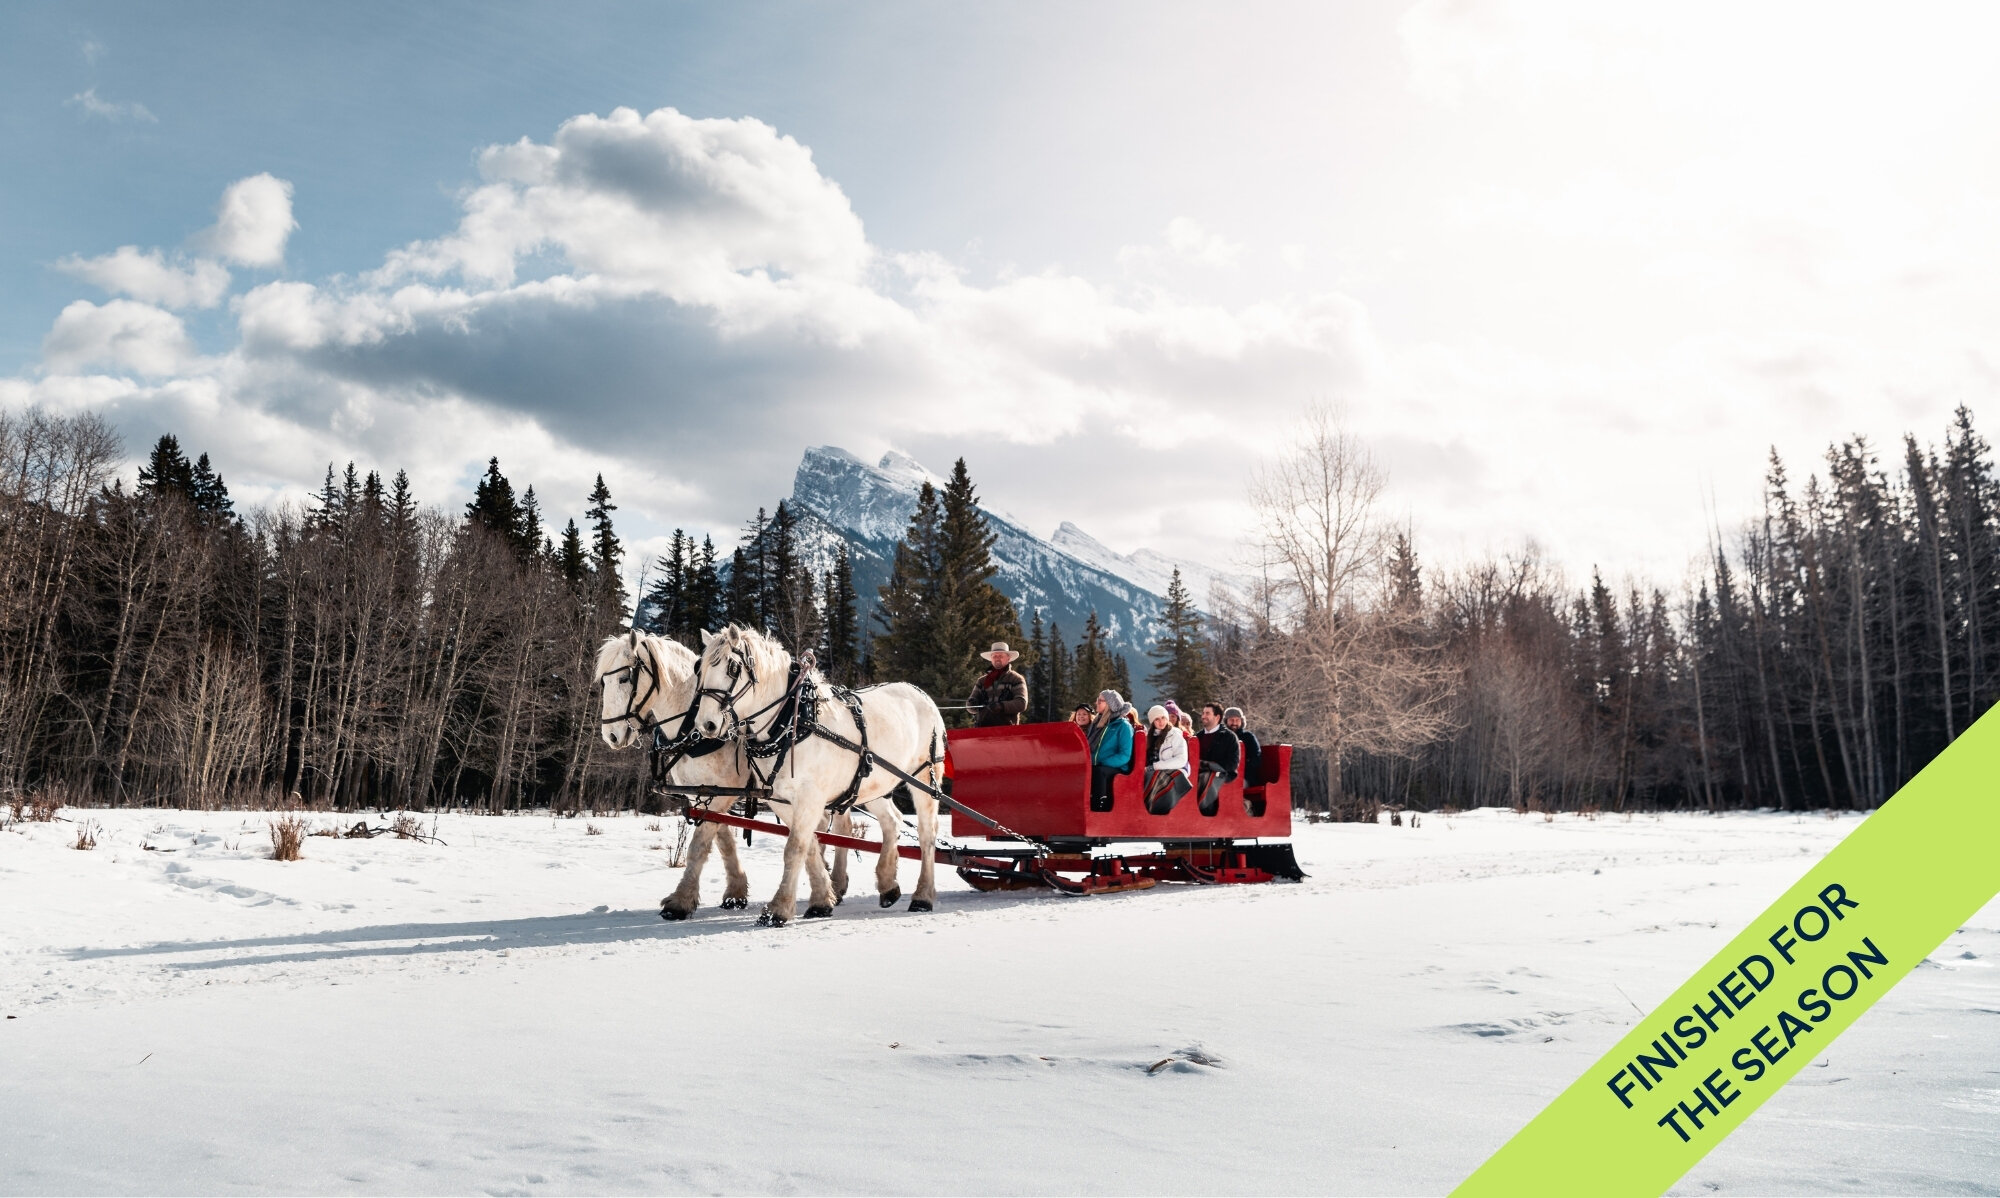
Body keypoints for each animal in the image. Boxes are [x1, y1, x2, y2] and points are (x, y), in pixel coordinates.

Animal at [696, 624, 944, 924]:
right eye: (700, 668)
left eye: (732, 668)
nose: (706, 724)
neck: (792, 721)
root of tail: (923, 694)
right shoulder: (783, 800)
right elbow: (810, 845)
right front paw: (822, 900)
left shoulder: (810, 797)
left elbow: (794, 848)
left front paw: (778, 909)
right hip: (872, 784)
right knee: (892, 822)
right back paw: (887, 884)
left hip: (924, 777)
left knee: (927, 833)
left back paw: (923, 896)